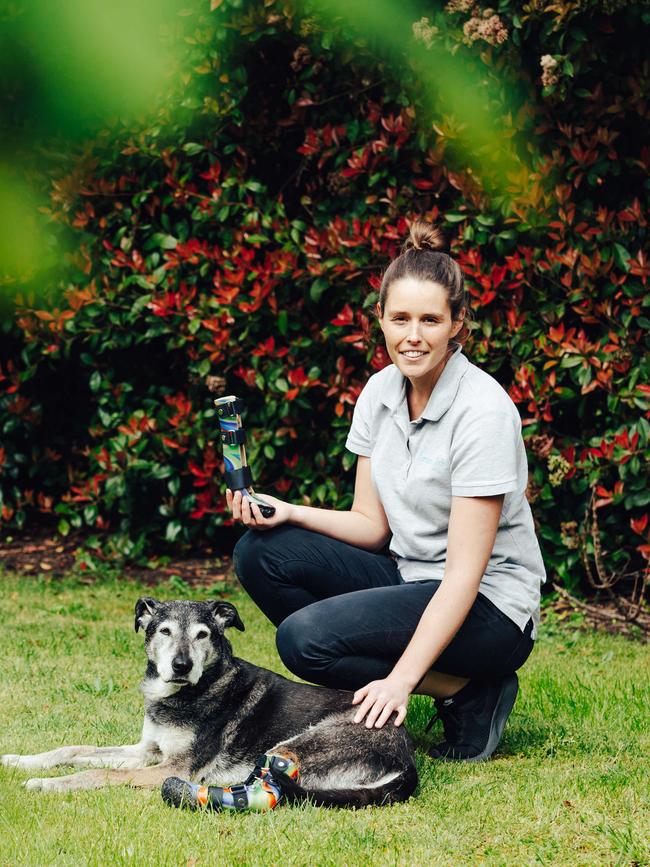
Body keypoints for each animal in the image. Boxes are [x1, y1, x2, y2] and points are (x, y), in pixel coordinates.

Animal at [2, 596, 418, 808]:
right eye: (164, 630)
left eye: (203, 634)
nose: (181, 666)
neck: (190, 692)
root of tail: (406, 756)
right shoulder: (146, 750)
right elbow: (72, 749)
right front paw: (20, 761)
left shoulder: (173, 765)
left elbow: (101, 774)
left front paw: (49, 784)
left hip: (289, 748)